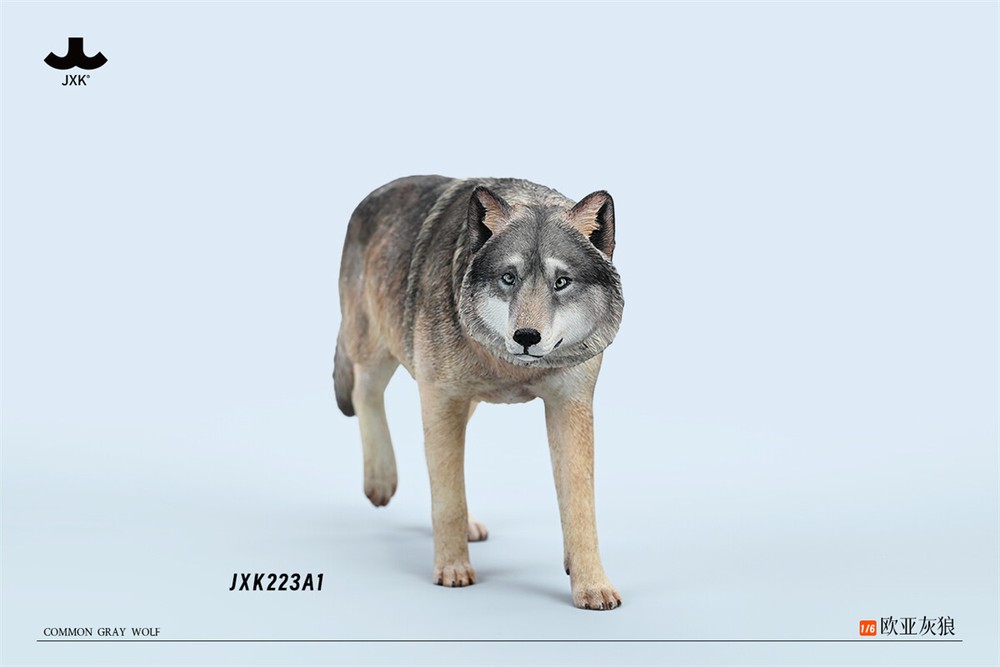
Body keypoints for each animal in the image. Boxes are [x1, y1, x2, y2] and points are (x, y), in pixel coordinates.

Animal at [333, 175, 624, 609]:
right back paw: (380, 482)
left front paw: (591, 585)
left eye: (561, 282)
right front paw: (453, 569)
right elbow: (449, 498)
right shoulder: (440, 397)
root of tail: (372, 196)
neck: (508, 367)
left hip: (460, 402)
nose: (526, 337)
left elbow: (579, 505)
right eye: (509, 278)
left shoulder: (569, 406)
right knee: (365, 392)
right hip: (378, 348)